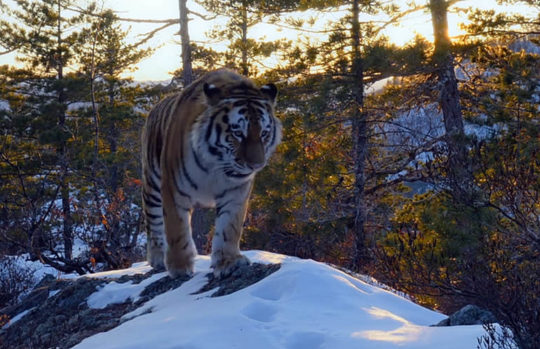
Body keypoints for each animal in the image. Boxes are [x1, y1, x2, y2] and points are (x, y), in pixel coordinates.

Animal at [139, 69, 282, 278]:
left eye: (264, 133)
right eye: (238, 133)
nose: (256, 164)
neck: (217, 165)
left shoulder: (236, 192)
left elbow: (229, 228)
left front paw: (228, 262)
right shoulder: (174, 189)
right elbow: (177, 230)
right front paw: (180, 267)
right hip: (153, 184)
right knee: (154, 221)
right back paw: (158, 258)